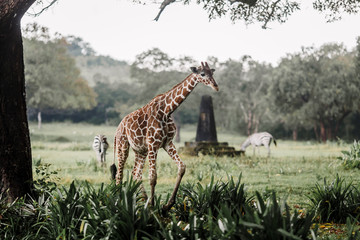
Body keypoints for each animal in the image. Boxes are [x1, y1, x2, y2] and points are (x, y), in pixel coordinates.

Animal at [114, 61, 218, 210]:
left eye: (212, 73)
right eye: (203, 74)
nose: (216, 86)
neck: (167, 110)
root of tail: (118, 127)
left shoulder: (167, 143)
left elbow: (182, 167)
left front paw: (168, 204)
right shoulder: (153, 143)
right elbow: (153, 176)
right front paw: (153, 207)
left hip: (141, 150)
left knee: (136, 174)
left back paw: (143, 200)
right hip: (123, 145)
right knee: (119, 174)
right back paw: (120, 203)